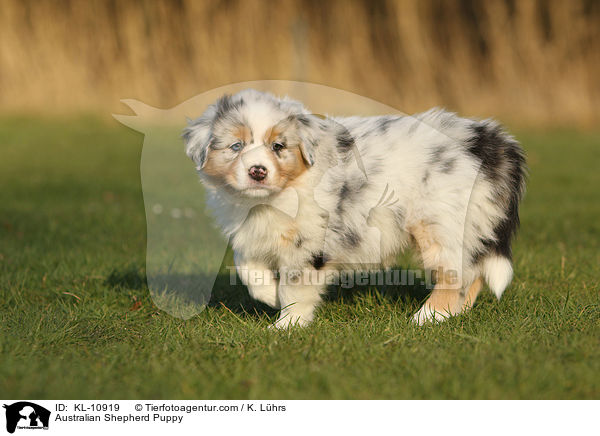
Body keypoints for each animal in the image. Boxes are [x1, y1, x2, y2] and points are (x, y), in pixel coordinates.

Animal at [183, 89, 524, 328]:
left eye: (278, 147)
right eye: (236, 146)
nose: (257, 171)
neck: (273, 196)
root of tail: (486, 140)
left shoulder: (310, 242)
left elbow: (296, 286)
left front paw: (286, 326)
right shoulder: (253, 231)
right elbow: (247, 266)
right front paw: (269, 294)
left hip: (439, 221)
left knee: (458, 274)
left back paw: (427, 318)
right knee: (473, 272)